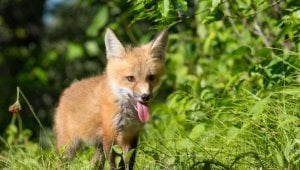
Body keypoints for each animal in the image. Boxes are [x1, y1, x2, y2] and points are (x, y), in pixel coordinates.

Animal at [54, 28, 166, 169]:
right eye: (130, 78)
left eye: (151, 77)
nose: (145, 96)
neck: (128, 115)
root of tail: (68, 89)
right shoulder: (110, 136)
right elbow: (116, 164)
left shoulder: (131, 135)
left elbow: (129, 162)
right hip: (68, 149)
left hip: (98, 148)